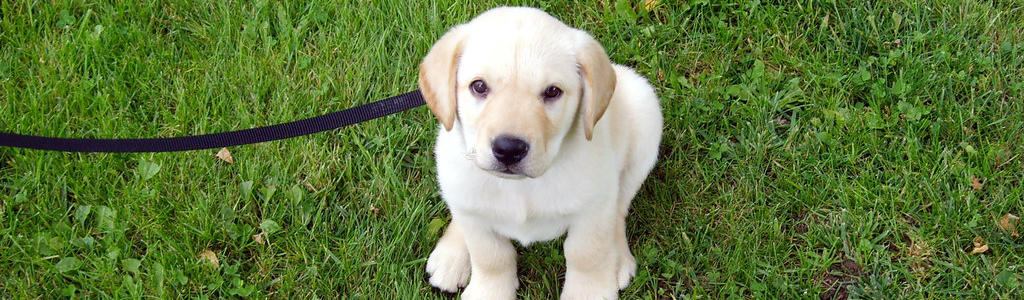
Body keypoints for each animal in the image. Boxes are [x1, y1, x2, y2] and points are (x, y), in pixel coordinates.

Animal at [417, 7, 663, 298]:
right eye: (479, 86)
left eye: (552, 91)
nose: (508, 149)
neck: (521, 187)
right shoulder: (477, 223)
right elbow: (491, 256)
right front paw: (490, 291)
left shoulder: (593, 208)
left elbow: (586, 253)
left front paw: (588, 290)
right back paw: (452, 255)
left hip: (644, 115)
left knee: (619, 208)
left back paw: (616, 260)